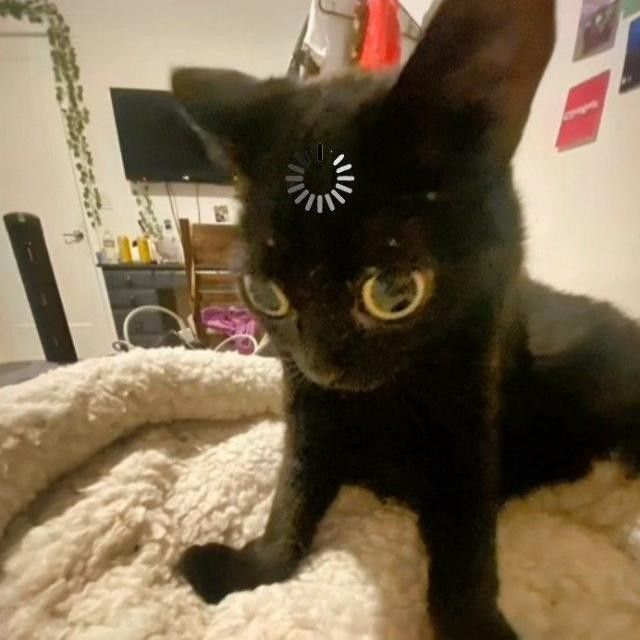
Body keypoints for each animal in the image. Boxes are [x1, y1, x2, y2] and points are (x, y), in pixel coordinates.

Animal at [171, 2, 640, 636]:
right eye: (267, 294)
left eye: (394, 292)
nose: (321, 364)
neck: (384, 402)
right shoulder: (307, 414)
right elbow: (290, 494)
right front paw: (251, 567)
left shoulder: (469, 423)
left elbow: (467, 549)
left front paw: (474, 625)